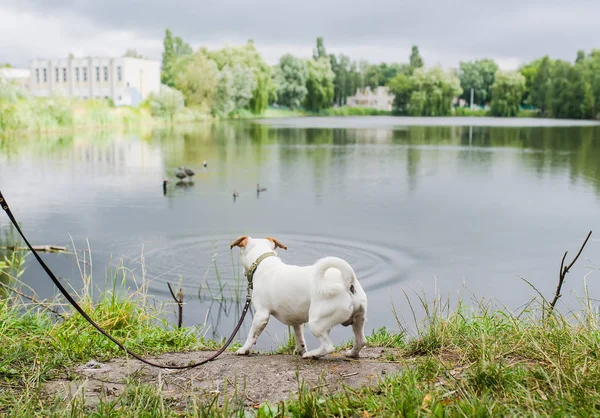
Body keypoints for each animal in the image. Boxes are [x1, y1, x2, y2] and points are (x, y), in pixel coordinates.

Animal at [230, 237, 368, 358]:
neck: (264, 262)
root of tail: (347, 283)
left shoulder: (261, 315)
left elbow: (252, 335)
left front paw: (243, 349)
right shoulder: (296, 320)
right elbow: (299, 336)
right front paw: (299, 350)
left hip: (316, 322)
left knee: (328, 347)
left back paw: (311, 354)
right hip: (358, 319)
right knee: (361, 341)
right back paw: (351, 353)